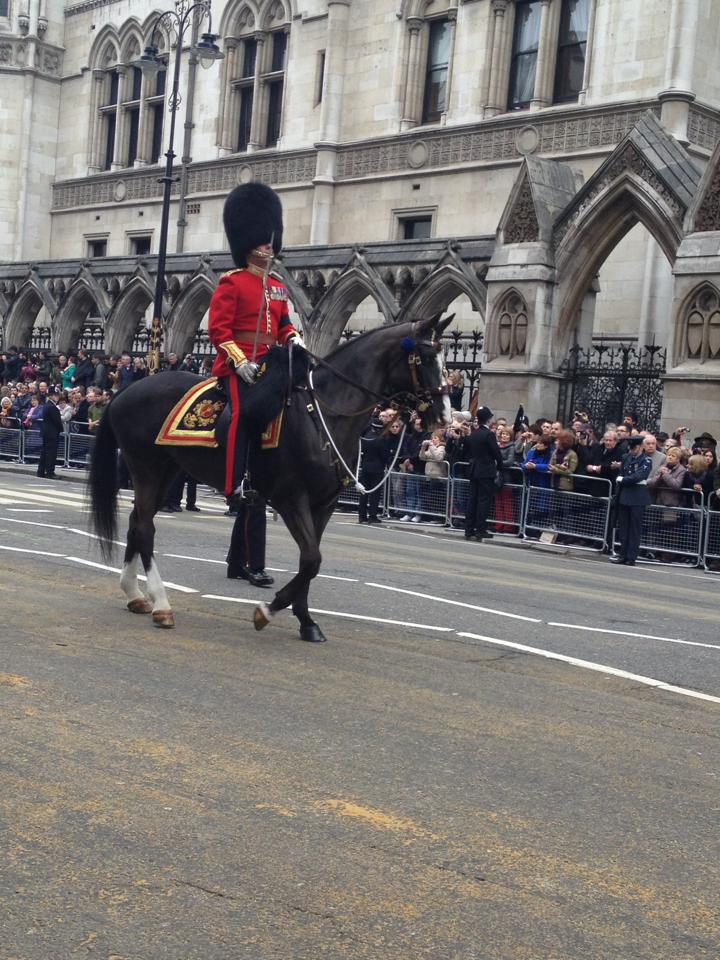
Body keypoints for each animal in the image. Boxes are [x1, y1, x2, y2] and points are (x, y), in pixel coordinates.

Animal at [88, 316, 450, 644]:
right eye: (424, 357)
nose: (443, 416)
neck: (323, 415)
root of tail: (125, 391)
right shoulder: (291, 497)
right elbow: (311, 560)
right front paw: (268, 609)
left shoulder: (325, 503)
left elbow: (310, 561)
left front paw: (306, 622)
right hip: (146, 466)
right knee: (145, 528)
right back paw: (161, 604)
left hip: (168, 468)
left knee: (137, 521)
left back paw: (134, 594)